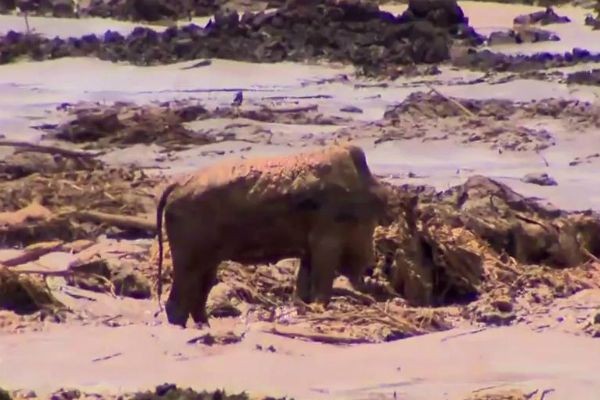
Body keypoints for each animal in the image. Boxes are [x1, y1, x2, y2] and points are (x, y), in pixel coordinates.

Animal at [157, 145, 386, 326]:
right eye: (368, 222)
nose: (369, 268)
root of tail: (176, 186)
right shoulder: (326, 245)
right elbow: (322, 286)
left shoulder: (308, 252)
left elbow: (303, 289)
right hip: (189, 262)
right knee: (177, 304)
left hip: (208, 263)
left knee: (197, 301)